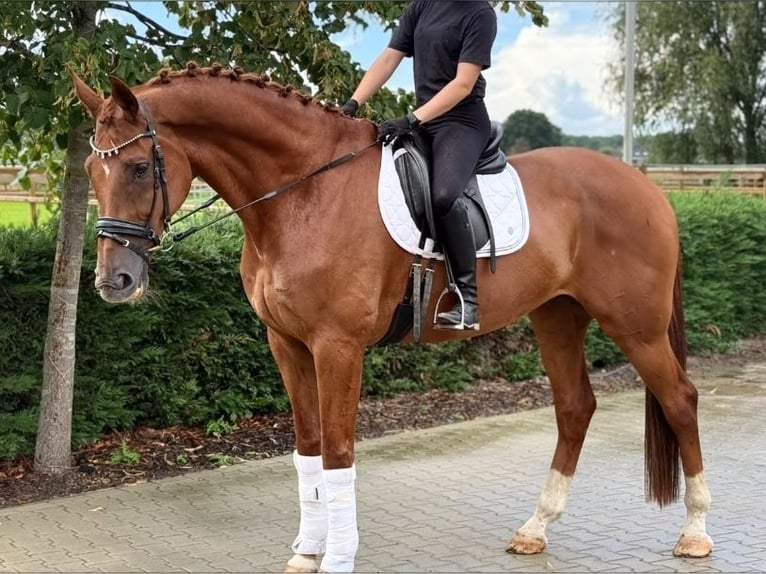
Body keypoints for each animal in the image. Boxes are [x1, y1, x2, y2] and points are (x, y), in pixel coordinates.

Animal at [72, 62, 713, 572]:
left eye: (137, 168)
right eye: (89, 172)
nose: (113, 281)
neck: (301, 194)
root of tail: (646, 187)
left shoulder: (337, 346)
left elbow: (338, 453)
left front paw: (337, 559)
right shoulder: (286, 343)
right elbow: (308, 449)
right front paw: (307, 552)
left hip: (636, 326)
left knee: (680, 400)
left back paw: (696, 533)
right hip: (558, 317)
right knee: (576, 407)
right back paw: (536, 529)